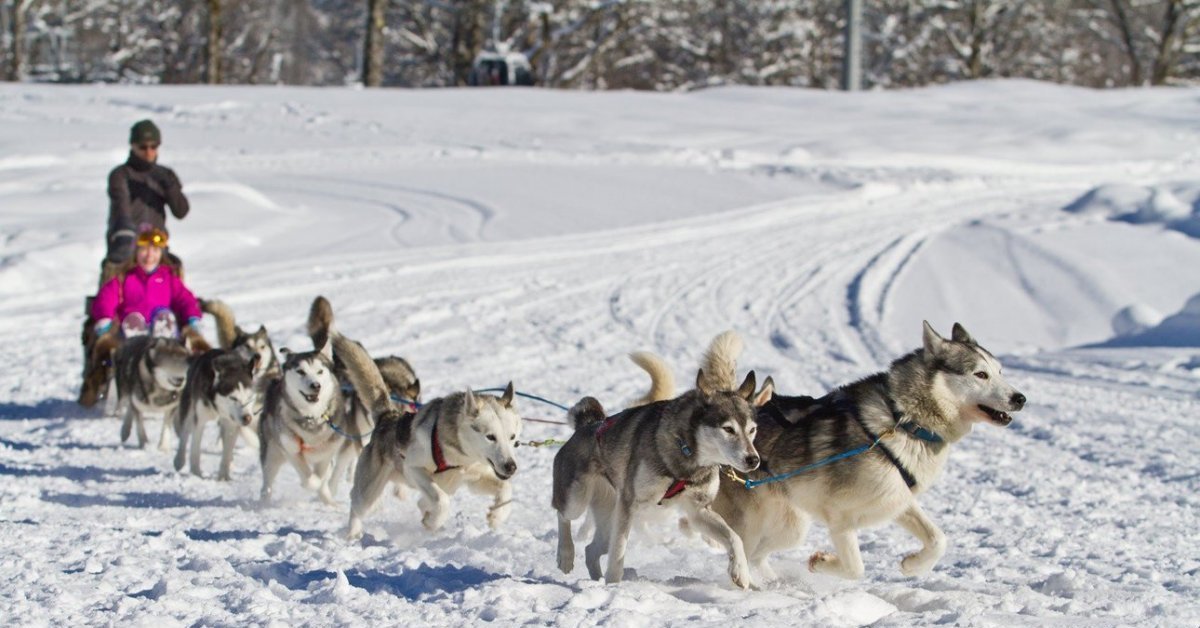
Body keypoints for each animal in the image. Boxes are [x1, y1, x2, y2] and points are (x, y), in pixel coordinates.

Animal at [174, 348, 262, 482]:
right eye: (233, 398)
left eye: (249, 398)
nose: (247, 418)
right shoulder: (200, 421)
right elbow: (195, 449)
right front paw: (196, 474)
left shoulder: (232, 424)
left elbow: (227, 451)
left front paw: (224, 477)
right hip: (188, 407)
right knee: (184, 434)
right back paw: (179, 460)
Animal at [343, 381, 520, 542]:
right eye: (490, 437)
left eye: (512, 437)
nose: (511, 466)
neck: (461, 456)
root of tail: (387, 417)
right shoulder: (414, 468)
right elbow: (442, 501)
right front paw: (432, 521)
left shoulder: (475, 478)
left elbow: (506, 487)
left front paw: (497, 515)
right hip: (368, 495)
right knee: (356, 504)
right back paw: (352, 534)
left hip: (449, 485)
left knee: (422, 503)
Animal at [552, 333, 768, 590]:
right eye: (728, 429)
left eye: (752, 430)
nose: (753, 459)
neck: (685, 454)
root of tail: (589, 424)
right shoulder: (629, 505)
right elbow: (618, 554)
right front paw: (615, 584)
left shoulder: (698, 511)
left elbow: (734, 537)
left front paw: (741, 572)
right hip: (579, 499)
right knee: (563, 515)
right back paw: (565, 554)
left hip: (609, 517)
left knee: (592, 550)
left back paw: (595, 580)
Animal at [700, 321, 1032, 583]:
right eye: (980, 374)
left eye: (1000, 371)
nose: (1020, 398)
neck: (904, 421)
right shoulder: (840, 519)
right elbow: (855, 568)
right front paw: (822, 563)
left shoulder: (897, 498)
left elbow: (938, 539)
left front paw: (913, 565)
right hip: (755, 523)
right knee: (742, 548)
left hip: (790, 525)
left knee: (757, 553)